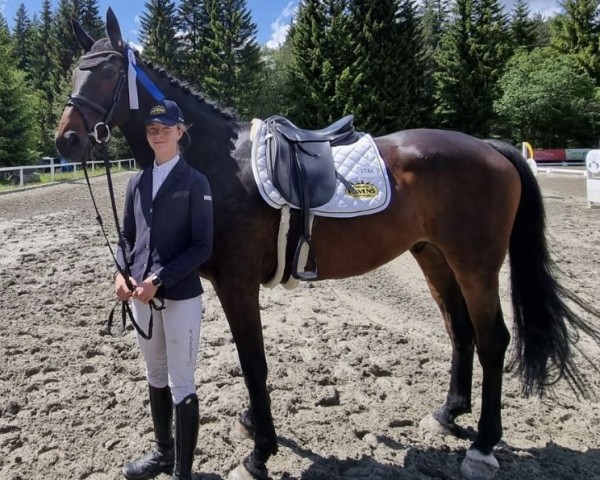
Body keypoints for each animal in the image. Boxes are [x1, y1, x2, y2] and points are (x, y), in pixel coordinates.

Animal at [55, 7, 600, 480]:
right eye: (74, 73)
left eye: (107, 72)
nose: (66, 141)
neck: (215, 162)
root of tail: (488, 146)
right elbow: (247, 364)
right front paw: (255, 428)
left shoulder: (236, 285)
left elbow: (253, 364)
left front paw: (261, 452)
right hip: (435, 258)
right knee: (460, 330)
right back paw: (448, 413)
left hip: (476, 265)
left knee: (492, 340)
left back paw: (483, 446)